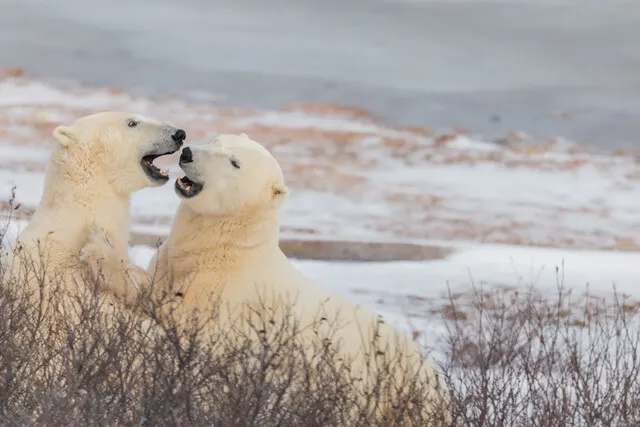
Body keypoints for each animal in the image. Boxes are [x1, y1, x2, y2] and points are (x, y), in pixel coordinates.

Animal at [82, 133, 448, 423]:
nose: (187, 153)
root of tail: (439, 384)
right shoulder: (174, 260)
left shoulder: (228, 295)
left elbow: (176, 316)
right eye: (216, 139)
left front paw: (97, 248)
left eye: (234, 163)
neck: (231, 248)